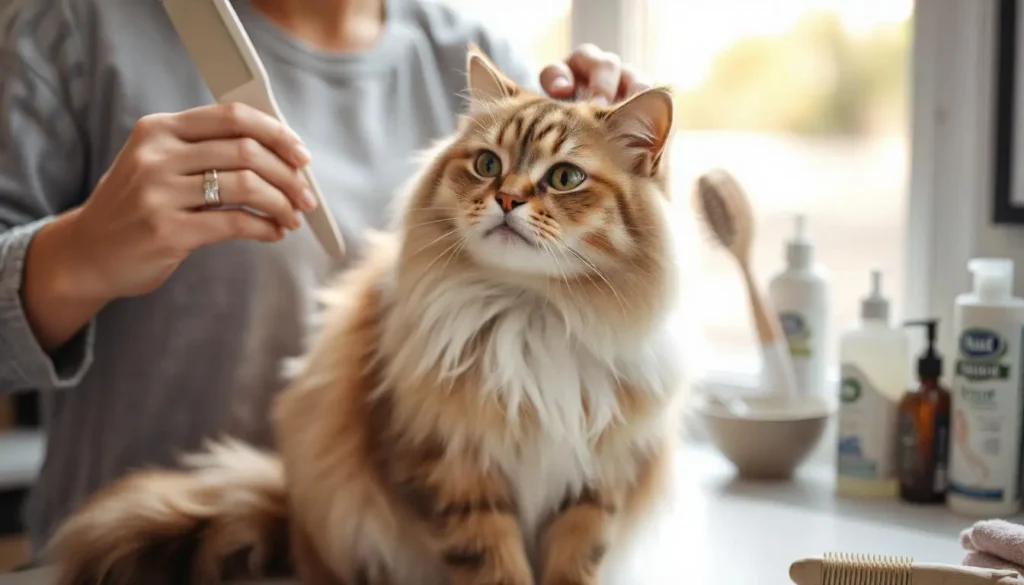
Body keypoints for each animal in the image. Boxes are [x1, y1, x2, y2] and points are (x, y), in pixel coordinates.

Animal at [49, 46, 688, 585]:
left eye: (565, 177)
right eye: (487, 164)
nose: (506, 199)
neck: (532, 314)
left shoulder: (598, 481)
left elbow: (575, 564)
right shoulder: (451, 470)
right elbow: (492, 564)